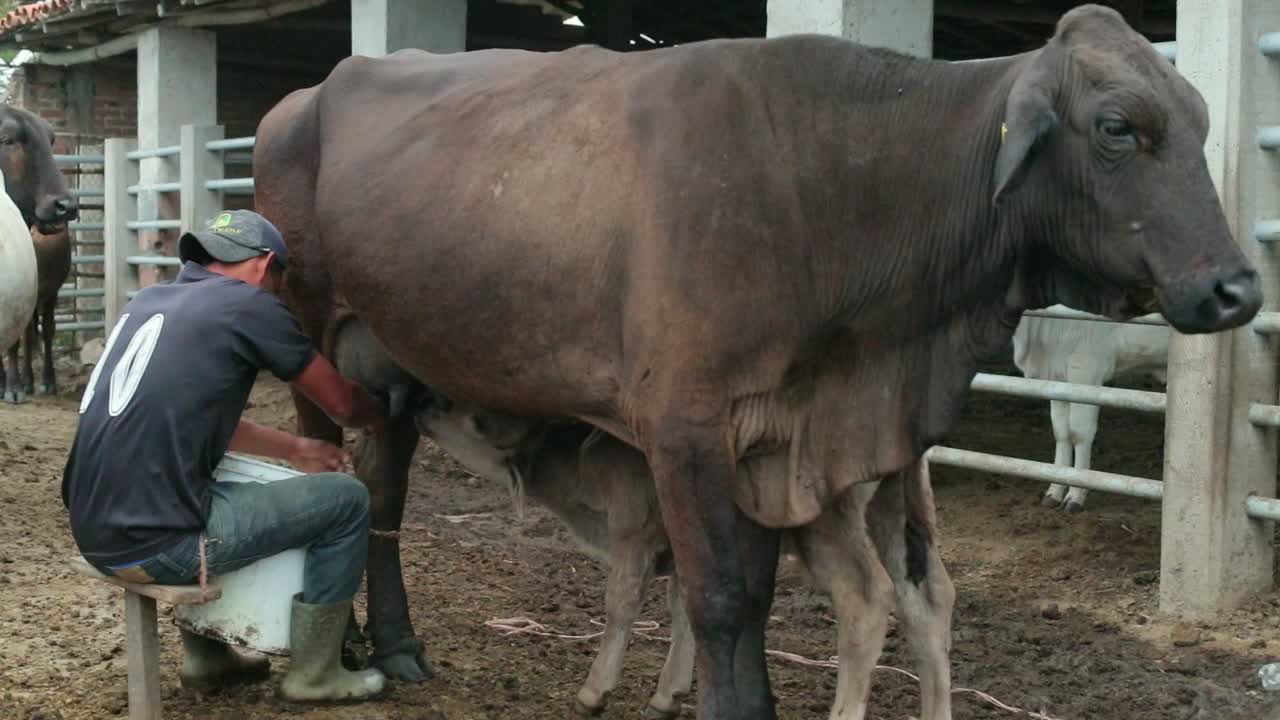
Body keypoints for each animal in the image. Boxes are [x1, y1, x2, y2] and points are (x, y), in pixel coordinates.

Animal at [413, 393, 952, 720]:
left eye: (464, 410)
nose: (424, 404)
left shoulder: (633, 533)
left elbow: (621, 604)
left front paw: (595, 690)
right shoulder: (680, 546)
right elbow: (686, 609)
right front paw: (668, 693)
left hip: (828, 526)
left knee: (866, 598)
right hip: (894, 513)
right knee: (929, 603)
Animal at [1013, 307, 1170, 512]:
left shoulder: (1085, 371)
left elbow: (1079, 433)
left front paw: (1076, 494)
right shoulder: (1058, 377)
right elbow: (1061, 433)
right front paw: (1054, 491)